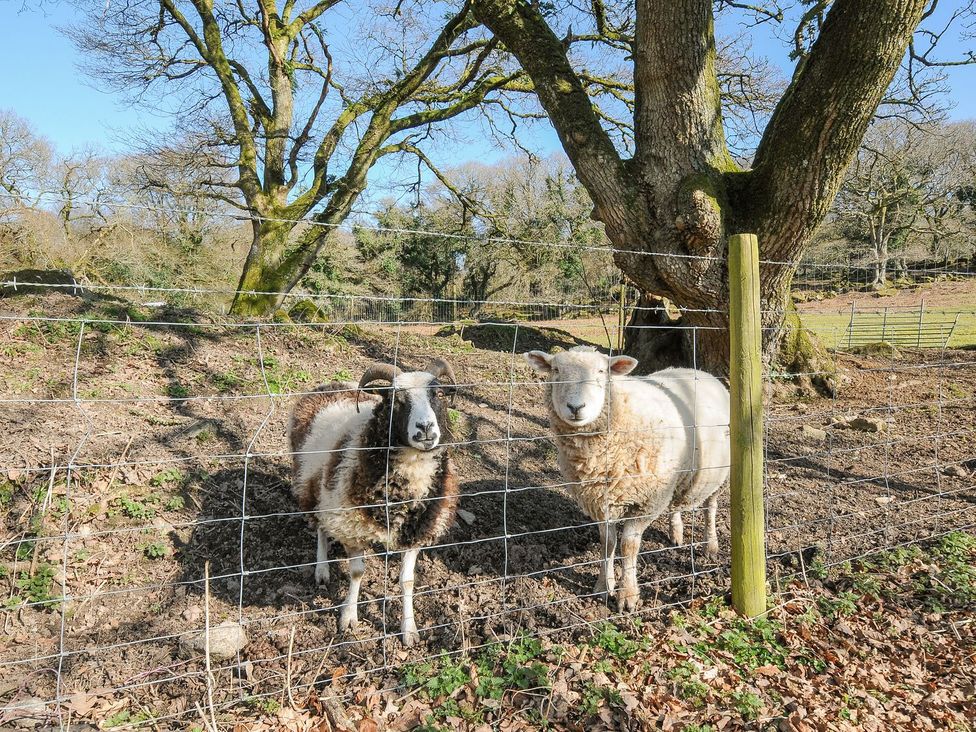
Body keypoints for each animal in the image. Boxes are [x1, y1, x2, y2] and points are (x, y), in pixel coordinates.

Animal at [288, 358, 460, 646]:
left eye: (438, 394)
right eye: (396, 400)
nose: (425, 429)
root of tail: (330, 384)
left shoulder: (416, 529)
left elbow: (407, 581)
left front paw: (409, 629)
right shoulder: (349, 523)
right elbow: (357, 572)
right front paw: (348, 617)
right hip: (315, 487)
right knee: (321, 528)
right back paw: (322, 570)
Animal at [524, 346, 730, 611]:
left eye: (602, 371)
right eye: (556, 370)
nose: (575, 407)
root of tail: (697, 370)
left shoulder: (647, 502)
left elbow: (628, 545)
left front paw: (627, 596)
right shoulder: (599, 500)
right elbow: (607, 543)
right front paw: (604, 586)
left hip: (719, 473)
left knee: (710, 508)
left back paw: (710, 545)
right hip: (677, 475)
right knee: (676, 504)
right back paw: (676, 532)